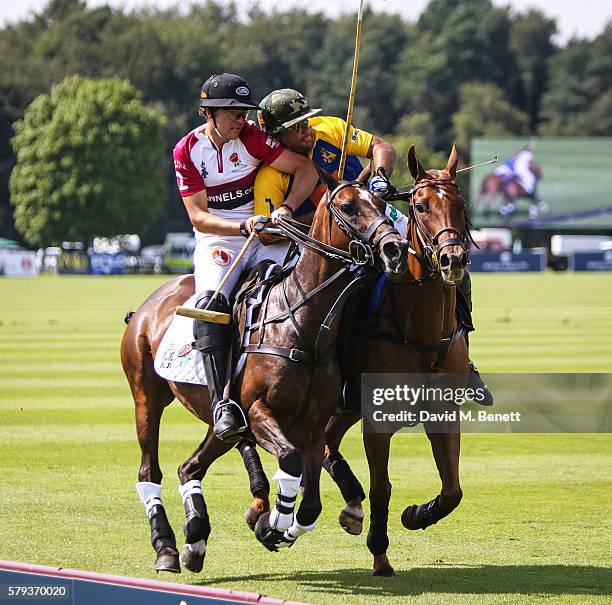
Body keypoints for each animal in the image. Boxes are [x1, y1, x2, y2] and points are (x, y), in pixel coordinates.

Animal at [119, 168, 406, 572]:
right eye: (349, 207)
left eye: (382, 203)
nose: (395, 249)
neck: (302, 323)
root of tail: (145, 307)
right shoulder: (257, 411)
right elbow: (289, 461)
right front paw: (271, 522)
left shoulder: (313, 426)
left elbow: (311, 503)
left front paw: (274, 526)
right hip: (147, 396)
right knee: (150, 470)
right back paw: (167, 548)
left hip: (216, 421)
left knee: (190, 466)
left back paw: (195, 539)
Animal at [326, 145, 468, 576]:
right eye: (420, 206)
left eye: (461, 205)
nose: (453, 260)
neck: (422, 334)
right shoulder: (377, 420)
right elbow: (381, 487)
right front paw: (380, 554)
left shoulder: (443, 412)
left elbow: (453, 490)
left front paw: (417, 514)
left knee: (326, 443)